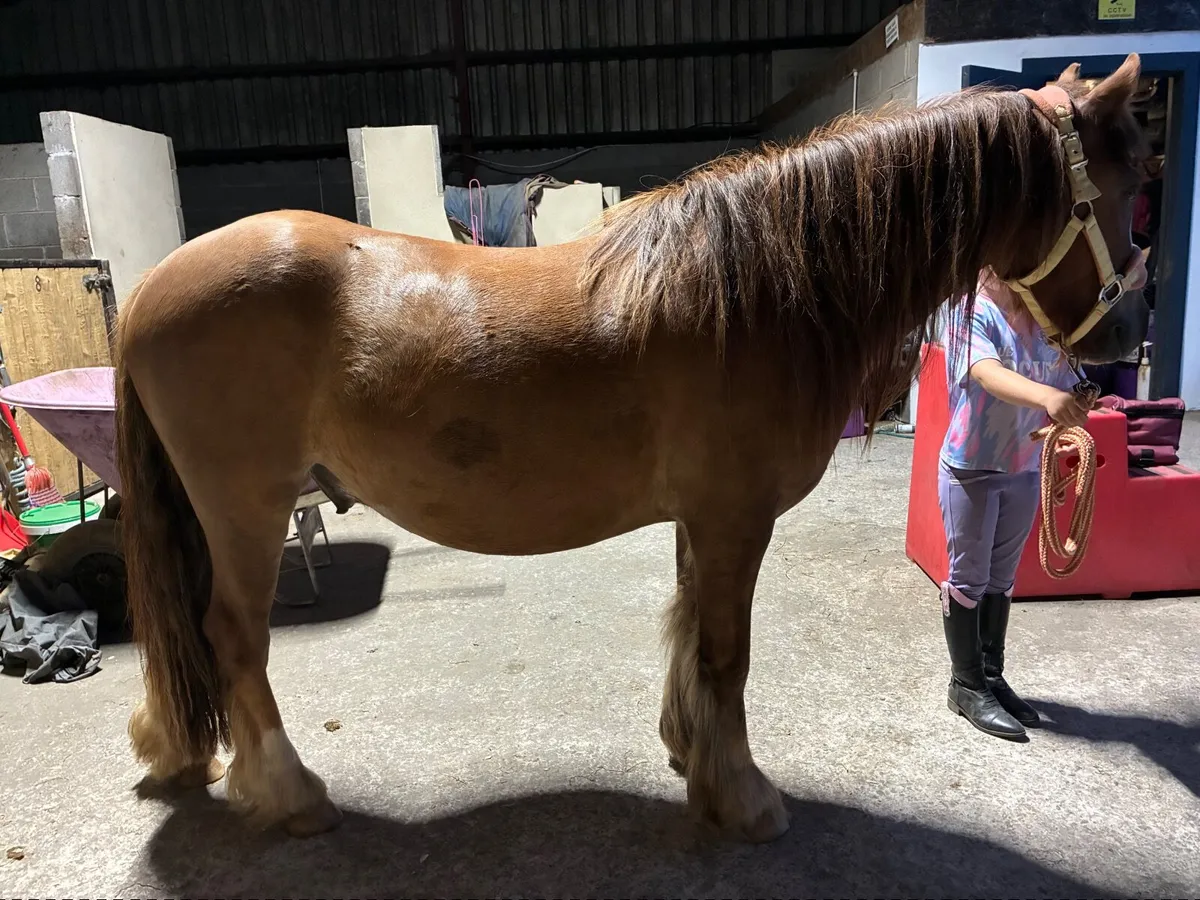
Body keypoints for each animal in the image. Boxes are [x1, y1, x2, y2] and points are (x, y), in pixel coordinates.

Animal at [116, 54, 1150, 843]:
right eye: (1127, 186)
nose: (1125, 340)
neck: (765, 289)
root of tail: (152, 288)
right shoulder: (735, 518)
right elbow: (726, 652)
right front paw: (744, 800)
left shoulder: (703, 520)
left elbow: (690, 635)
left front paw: (692, 755)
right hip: (247, 511)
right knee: (234, 638)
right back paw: (290, 796)